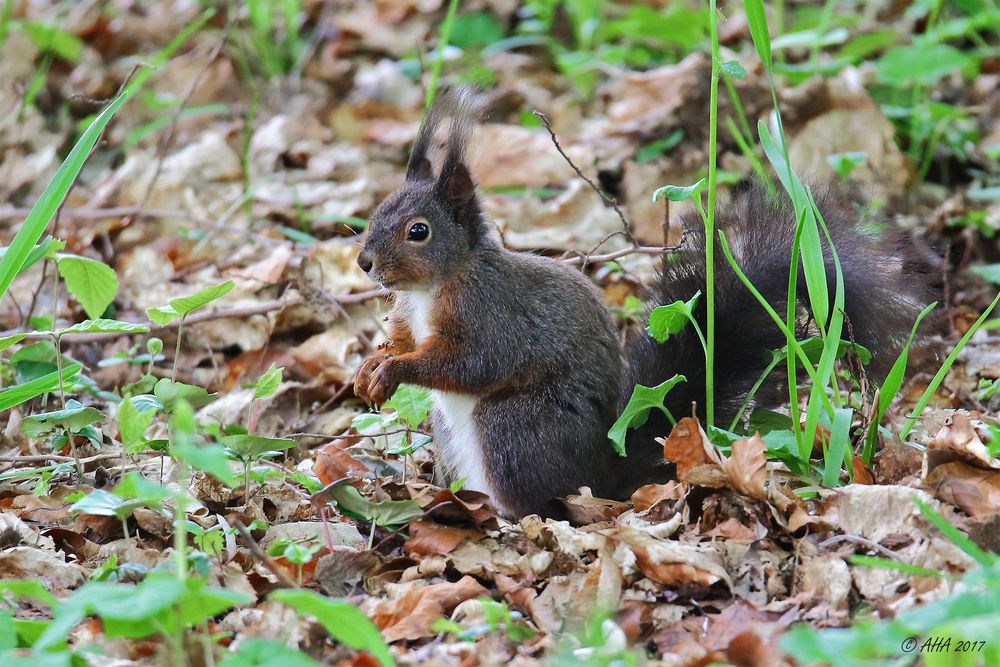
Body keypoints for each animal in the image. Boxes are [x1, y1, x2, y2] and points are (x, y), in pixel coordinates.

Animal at [352, 91, 928, 520]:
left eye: (418, 231)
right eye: (378, 211)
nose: (364, 262)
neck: (435, 286)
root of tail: (602, 474)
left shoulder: (493, 316)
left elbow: (472, 364)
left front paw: (393, 370)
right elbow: (404, 339)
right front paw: (372, 365)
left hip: (511, 427)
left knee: (540, 504)